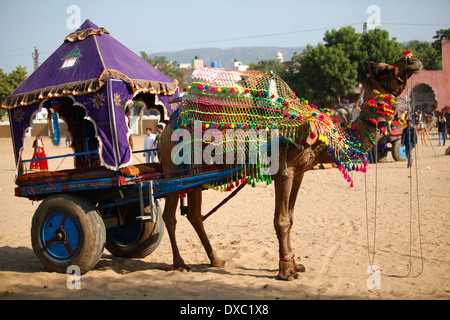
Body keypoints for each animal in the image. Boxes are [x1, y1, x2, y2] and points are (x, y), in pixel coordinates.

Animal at [158, 52, 422, 280]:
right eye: (386, 69)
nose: (414, 61)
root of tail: (167, 126)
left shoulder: (300, 172)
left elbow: (292, 219)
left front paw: (296, 264)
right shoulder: (283, 170)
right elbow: (281, 220)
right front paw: (286, 271)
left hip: (195, 175)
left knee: (194, 215)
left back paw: (216, 260)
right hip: (173, 168)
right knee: (169, 215)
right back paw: (180, 263)